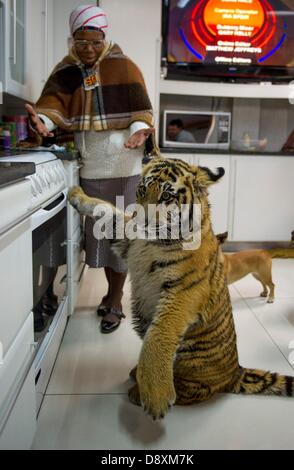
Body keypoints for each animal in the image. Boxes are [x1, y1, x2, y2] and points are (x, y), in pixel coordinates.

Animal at [68, 156, 294, 420]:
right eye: (142, 189)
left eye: (166, 196)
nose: (141, 223)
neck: (153, 241)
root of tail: (236, 371)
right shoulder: (128, 237)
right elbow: (106, 209)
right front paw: (76, 194)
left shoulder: (183, 291)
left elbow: (159, 334)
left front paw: (155, 396)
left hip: (192, 361)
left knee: (196, 391)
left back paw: (139, 390)